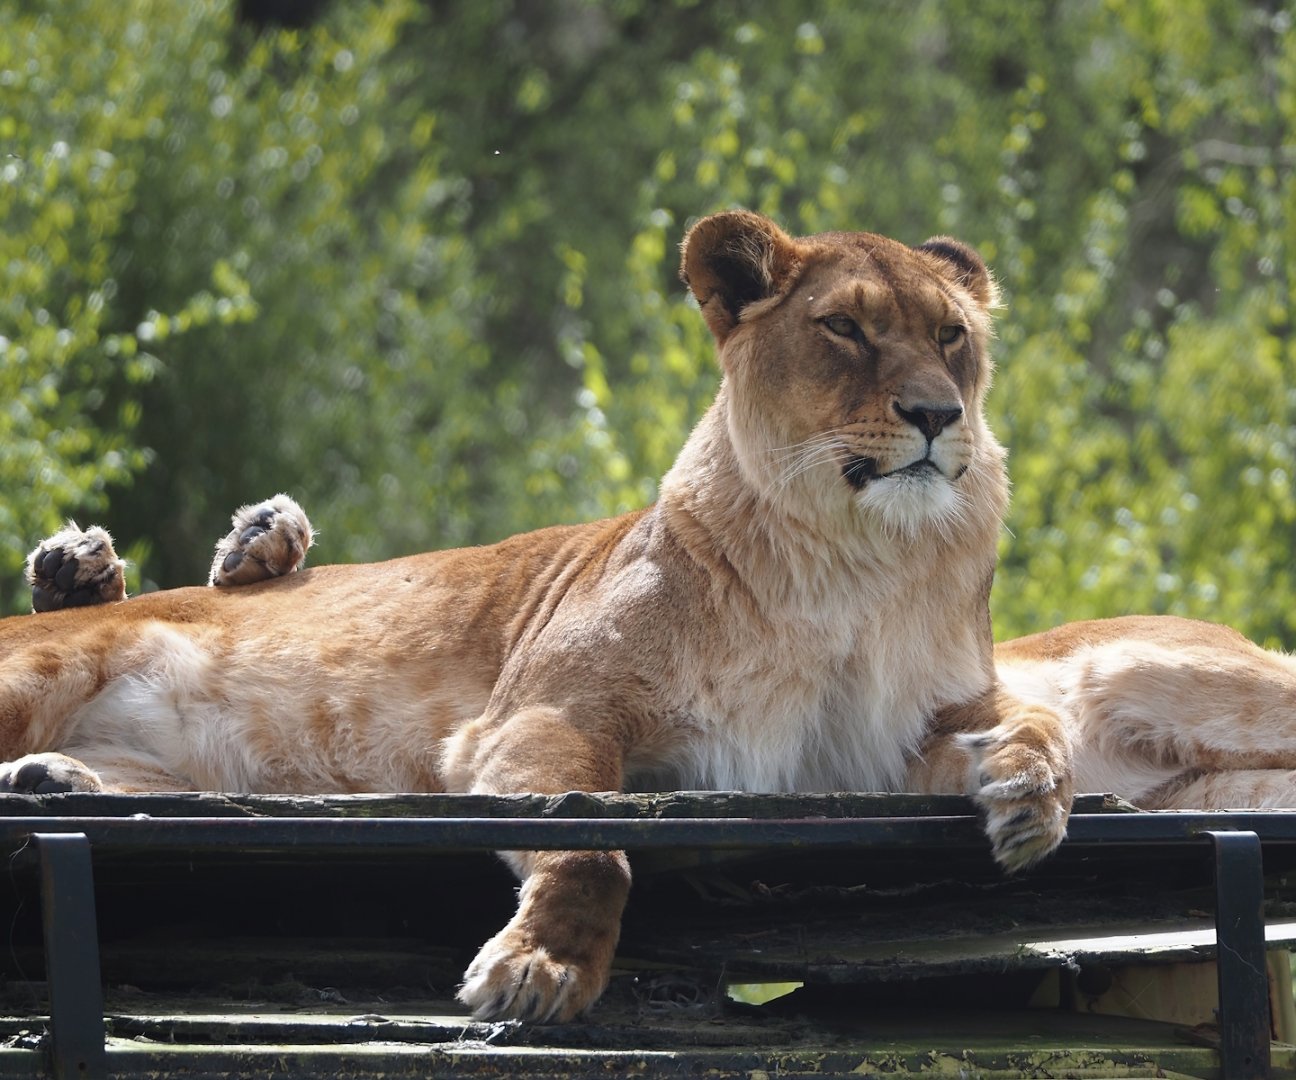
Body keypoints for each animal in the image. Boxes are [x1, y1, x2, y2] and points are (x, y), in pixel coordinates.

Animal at [4, 210, 1295, 1024]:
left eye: (953, 340)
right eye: (845, 329)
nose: (936, 414)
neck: (851, 567)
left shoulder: (878, 751)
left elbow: (1021, 728)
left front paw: (1030, 799)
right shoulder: (547, 719)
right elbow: (597, 842)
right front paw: (538, 973)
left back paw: (57, 776)